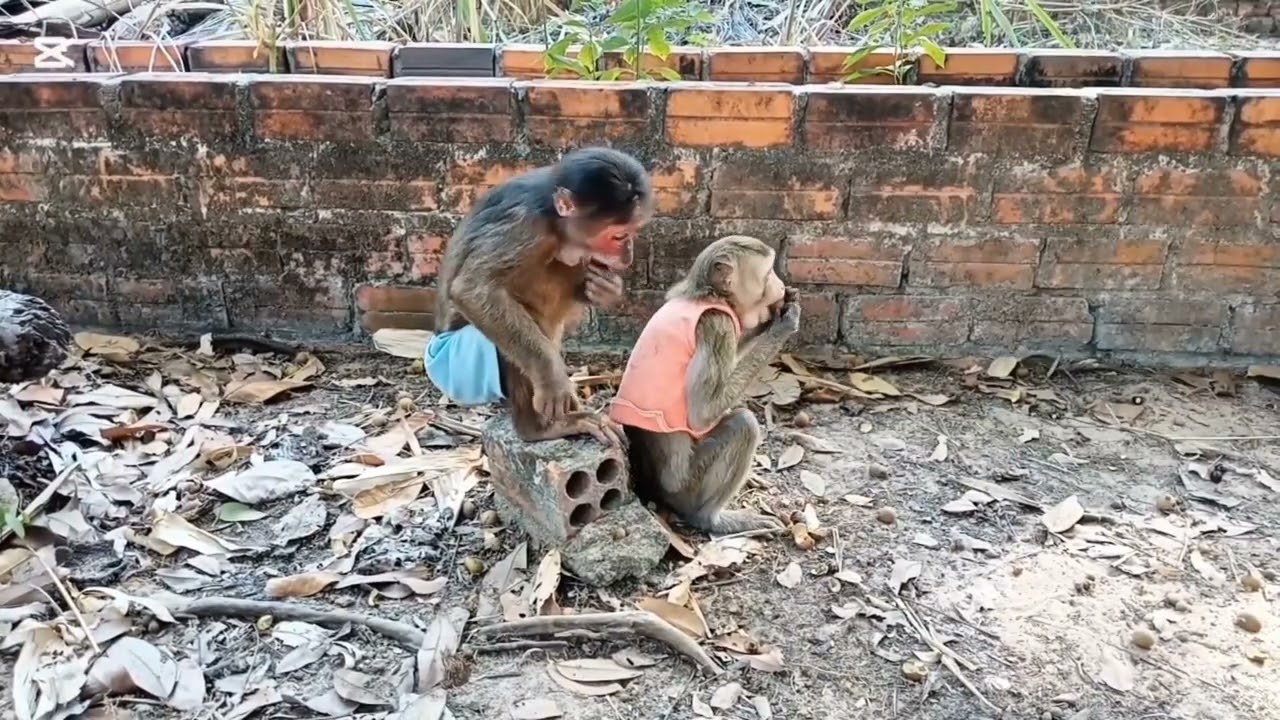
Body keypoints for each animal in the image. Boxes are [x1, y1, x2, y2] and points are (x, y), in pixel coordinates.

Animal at [426, 147, 654, 447]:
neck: (552, 217)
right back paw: (537, 428)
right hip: (457, 366)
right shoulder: (525, 227)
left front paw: (606, 288)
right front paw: (552, 378)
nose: (628, 256)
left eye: (632, 234)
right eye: (619, 236)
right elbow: (473, 290)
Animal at [609, 236, 800, 535]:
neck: (711, 296)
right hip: (689, 487)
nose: (780, 285)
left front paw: (768, 321)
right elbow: (703, 413)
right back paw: (711, 519)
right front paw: (781, 326)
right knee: (743, 424)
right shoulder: (717, 326)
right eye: (769, 273)